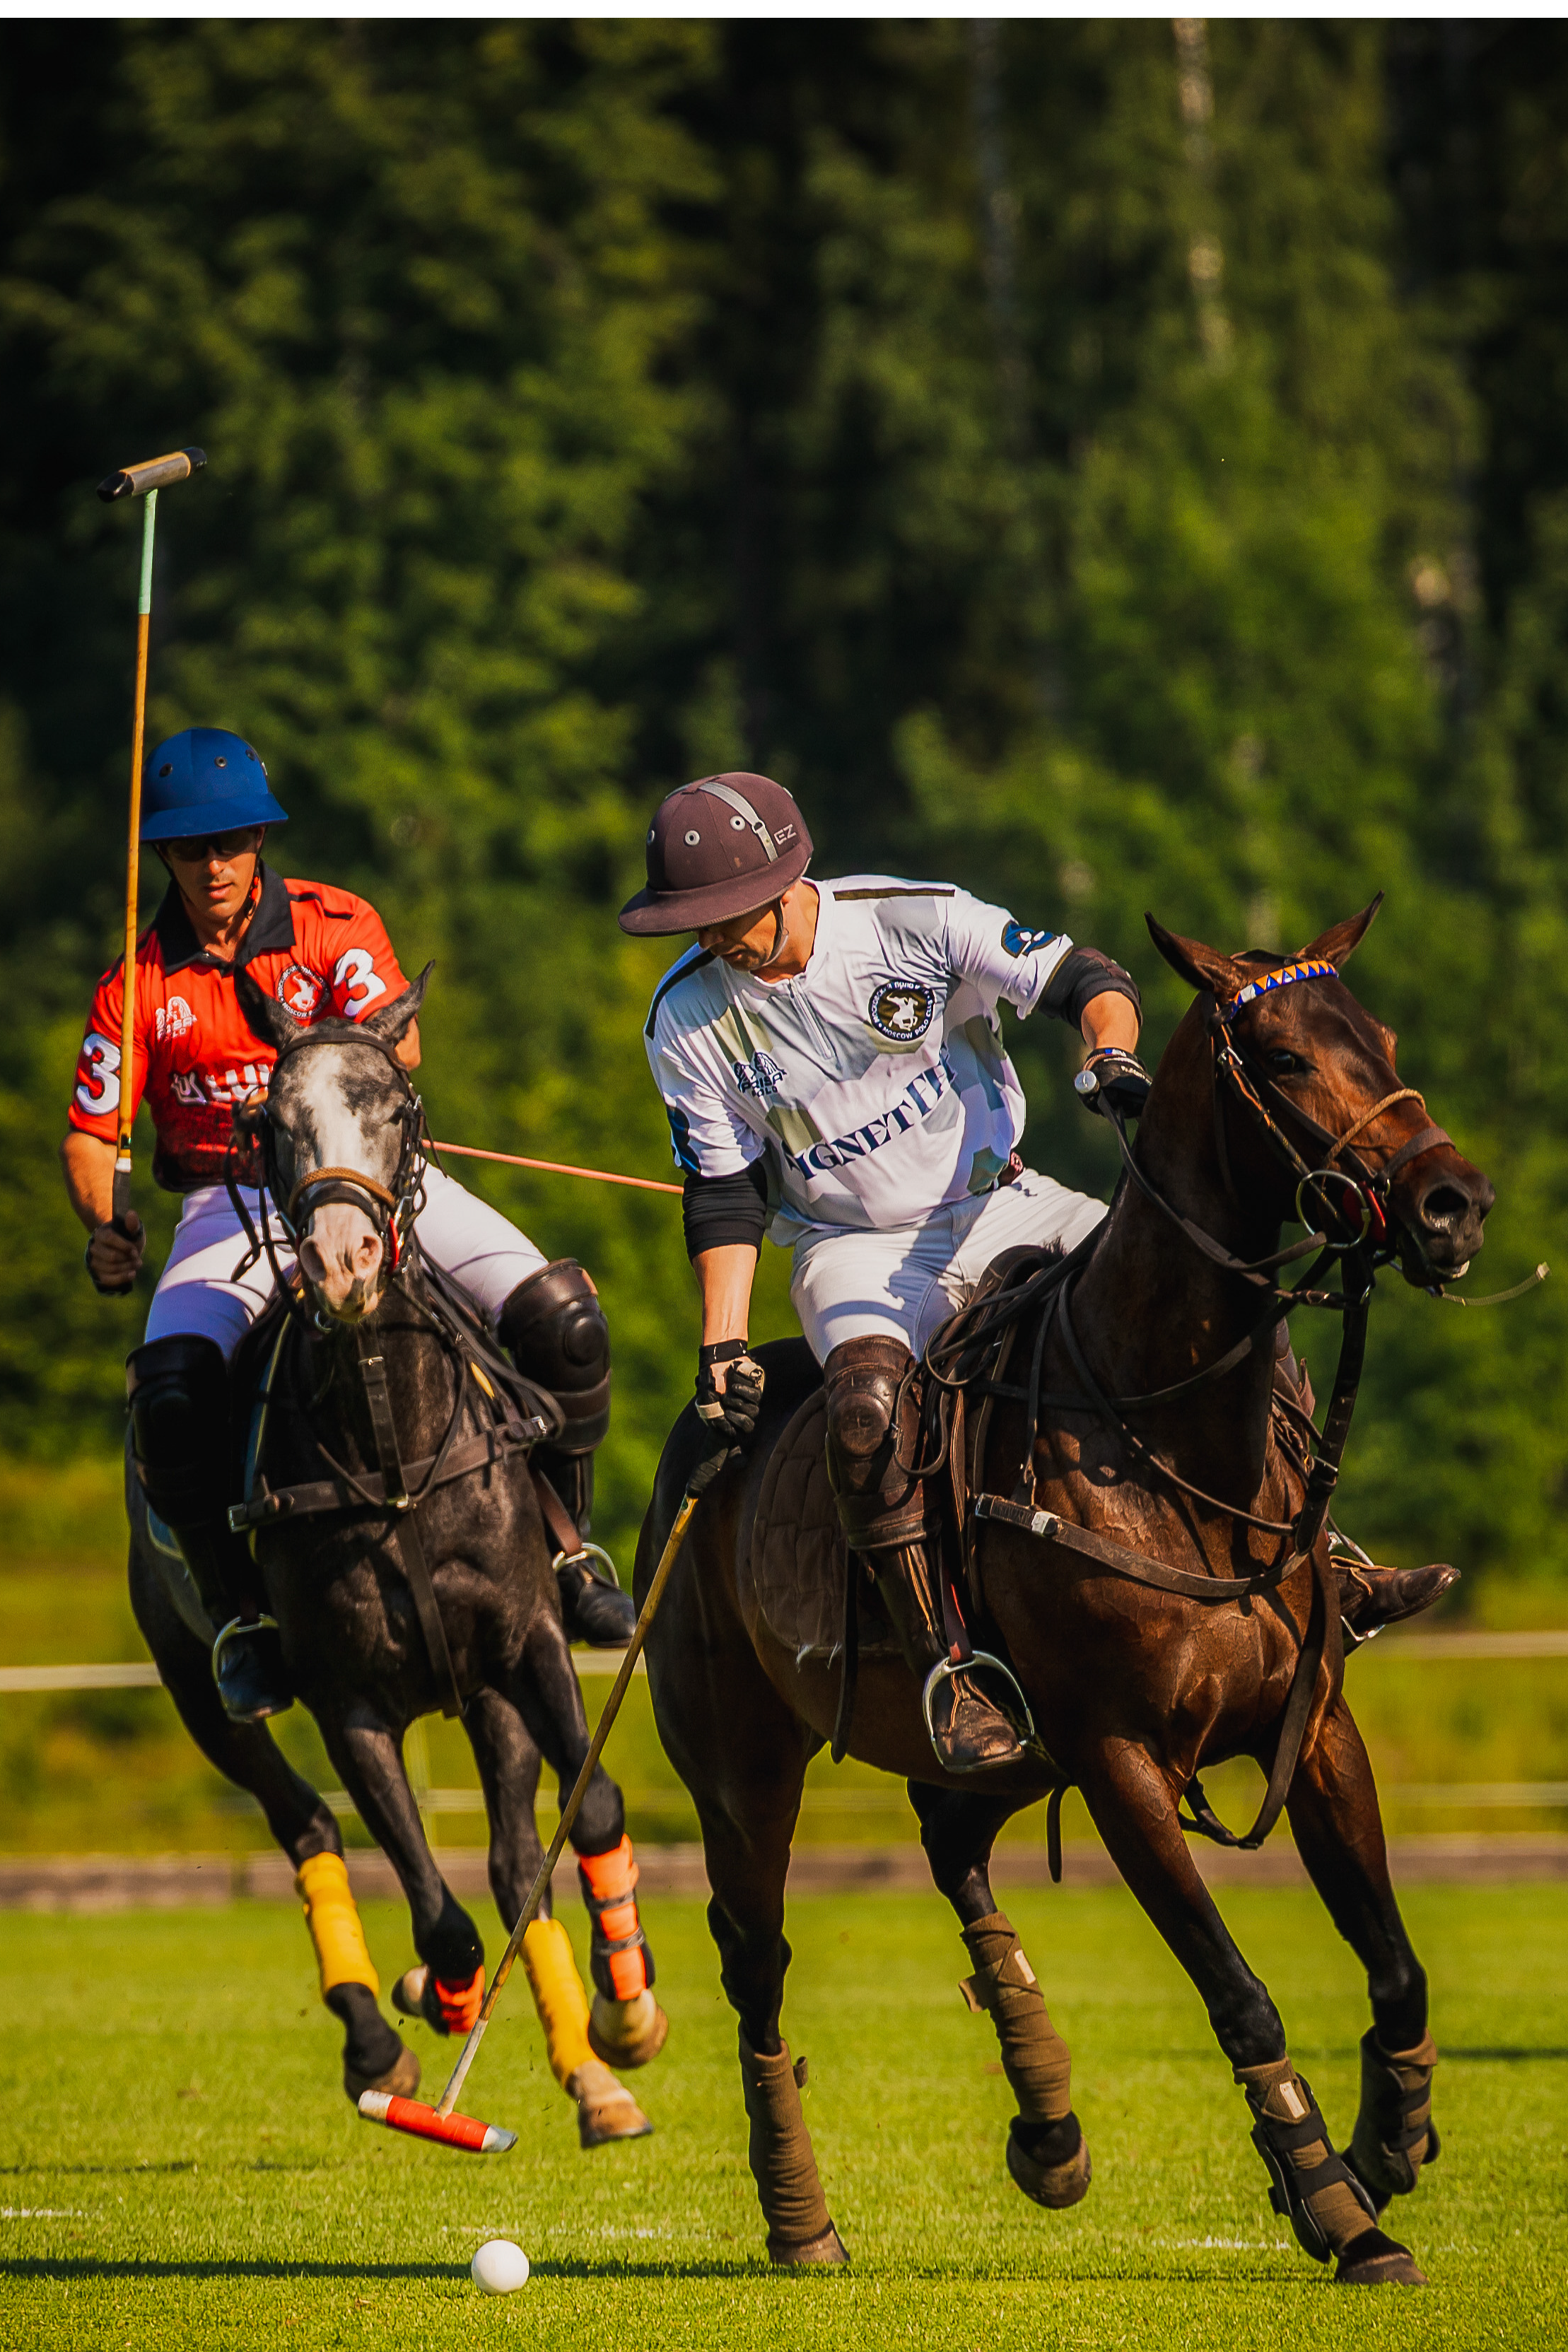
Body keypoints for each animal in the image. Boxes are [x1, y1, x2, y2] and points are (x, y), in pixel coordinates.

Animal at [125, 964, 658, 2145]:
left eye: (397, 1108)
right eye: (270, 1122)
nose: (343, 1264)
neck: (395, 1444)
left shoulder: (526, 1641)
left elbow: (588, 1804)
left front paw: (626, 2011)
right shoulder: (350, 1702)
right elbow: (433, 1910)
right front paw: (442, 1994)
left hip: (484, 1692)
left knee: (513, 1860)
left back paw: (591, 2071)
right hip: (196, 1687)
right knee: (307, 1821)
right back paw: (385, 2035)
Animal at [634, 908, 1494, 2286]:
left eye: (1385, 1037)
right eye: (1283, 1058)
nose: (1450, 1203)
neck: (1168, 1433)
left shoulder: (1312, 1726)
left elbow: (1397, 1967)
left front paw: (1386, 2144)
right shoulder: (1116, 1755)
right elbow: (1239, 1991)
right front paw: (1332, 2202)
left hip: (1003, 1753)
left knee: (951, 1842)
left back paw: (1046, 2126)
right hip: (740, 1766)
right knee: (754, 1959)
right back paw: (800, 2216)